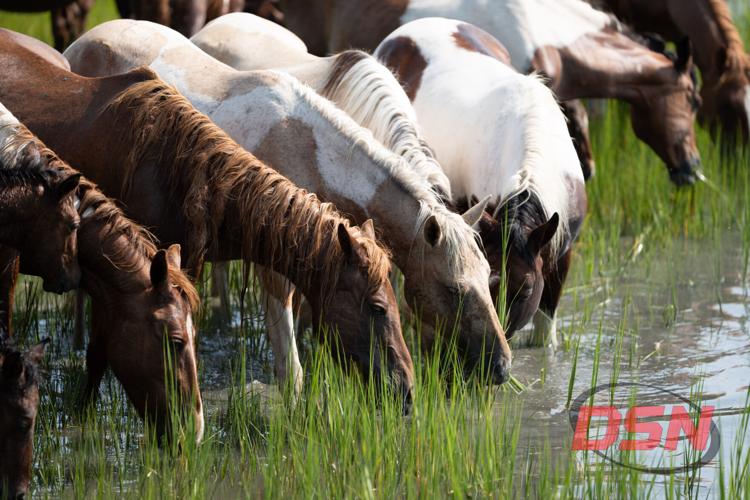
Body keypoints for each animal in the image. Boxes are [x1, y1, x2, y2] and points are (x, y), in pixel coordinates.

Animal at [65, 19, 511, 384]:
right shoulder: (276, 268)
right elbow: (288, 358)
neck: (310, 151)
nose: (502, 368)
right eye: (453, 289)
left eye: (489, 278)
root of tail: (83, 42)